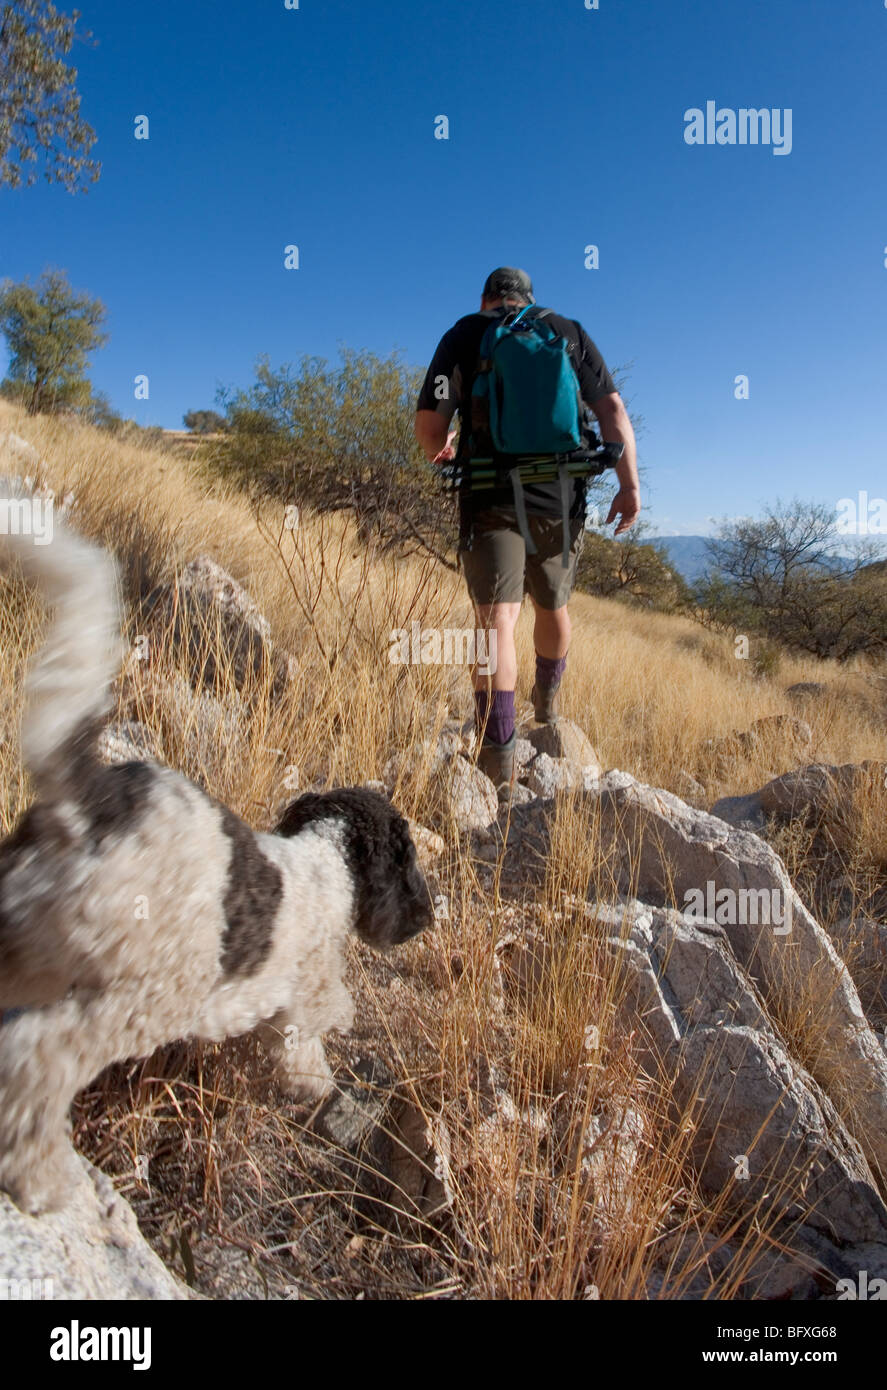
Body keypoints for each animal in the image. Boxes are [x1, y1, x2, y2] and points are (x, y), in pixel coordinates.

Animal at [0, 480, 433, 1217]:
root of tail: (93, 796)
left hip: (23, 940)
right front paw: (320, 1089)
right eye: (405, 865)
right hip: (133, 998)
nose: (424, 918)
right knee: (34, 1058)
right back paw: (42, 1176)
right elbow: (310, 1045)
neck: (328, 859)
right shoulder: (299, 1005)